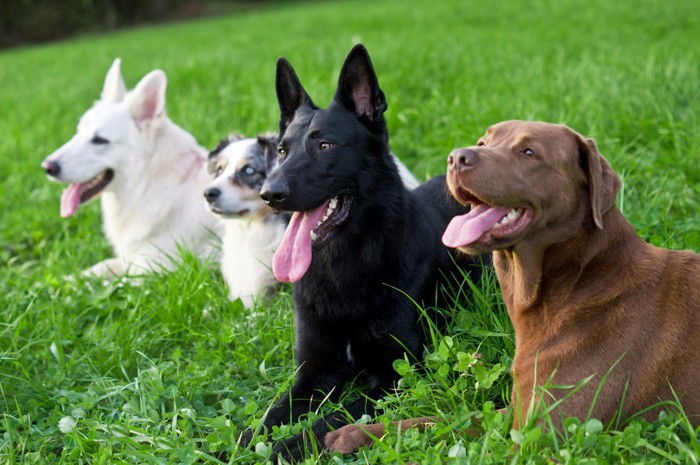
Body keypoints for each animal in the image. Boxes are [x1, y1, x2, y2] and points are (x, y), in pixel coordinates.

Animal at [41, 57, 221, 276]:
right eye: (78, 132)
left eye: (100, 140)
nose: (47, 167)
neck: (148, 182)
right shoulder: (128, 261)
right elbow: (97, 268)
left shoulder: (149, 272)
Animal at [249, 45, 490, 458]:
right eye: (281, 150)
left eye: (325, 146)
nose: (269, 194)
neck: (344, 267)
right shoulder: (312, 374)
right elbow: (268, 417)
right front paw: (235, 446)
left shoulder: (394, 378)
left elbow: (329, 420)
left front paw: (285, 449)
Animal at [326, 119, 700, 454]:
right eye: (483, 142)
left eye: (529, 152)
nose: (456, 157)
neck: (578, 281)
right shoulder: (518, 415)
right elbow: (441, 419)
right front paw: (353, 433)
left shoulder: (546, 436)